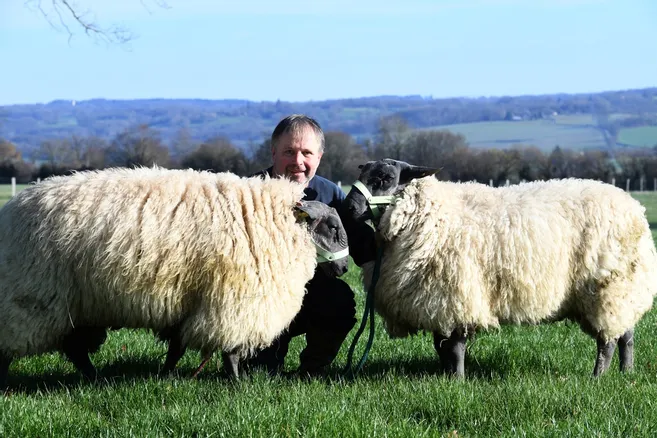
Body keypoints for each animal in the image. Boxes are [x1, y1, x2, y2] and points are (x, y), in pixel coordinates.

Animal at [0, 166, 348, 384]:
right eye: (333, 227)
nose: (345, 268)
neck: (277, 221)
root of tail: (10, 210)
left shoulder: (190, 301)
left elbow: (177, 346)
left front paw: (165, 376)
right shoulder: (234, 302)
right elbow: (231, 352)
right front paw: (237, 384)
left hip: (77, 306)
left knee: (76, 349)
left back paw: (95, 378)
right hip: (31, 297)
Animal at [340, 159, 656, 378]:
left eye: (384, 178)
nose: (347, 208)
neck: (433, 213)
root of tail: (634, 207)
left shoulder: (456, 295)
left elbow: (454, 347)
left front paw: (457, 381)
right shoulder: (436, 302)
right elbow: (439, 344)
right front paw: (444, 377)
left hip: (608, 287)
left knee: (608, 341)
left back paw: (597, 376)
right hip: (623, 290)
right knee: (626, 334)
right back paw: (625, 373)